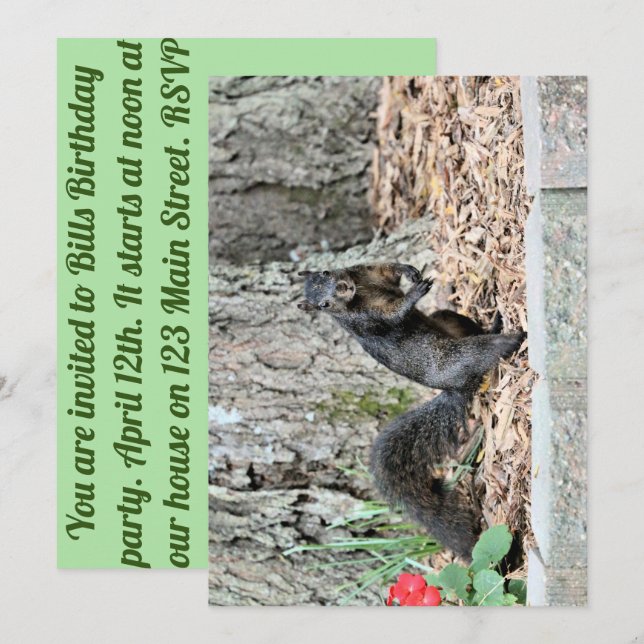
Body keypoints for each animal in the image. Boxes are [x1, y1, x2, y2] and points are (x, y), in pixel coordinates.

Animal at [297, 263, 525, 393]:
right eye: (323, 305)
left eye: (325, 271)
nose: (343, 286)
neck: (361, 291)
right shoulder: (368, 318)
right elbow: (394, 314)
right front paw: (415, 292)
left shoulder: (365, 273)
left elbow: (385, 269)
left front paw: (407, 270)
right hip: (453, 359)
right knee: (479, 352)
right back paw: (510, 339)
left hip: (448, 319)